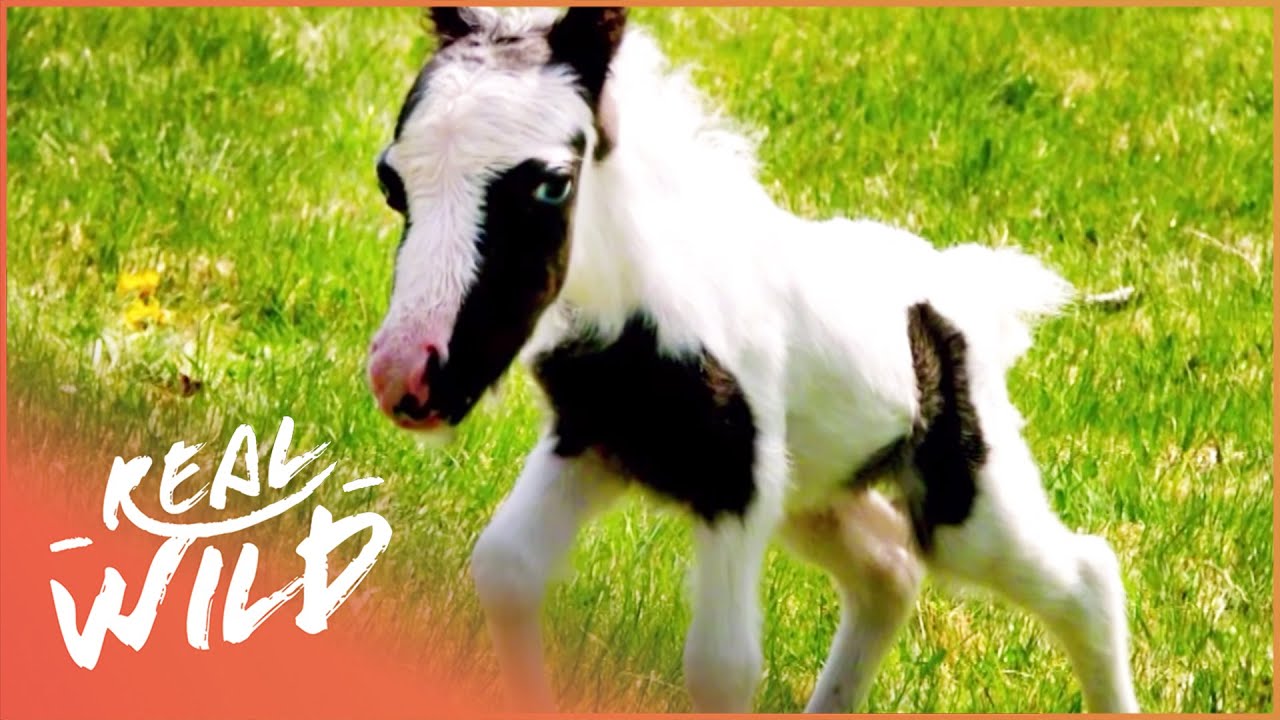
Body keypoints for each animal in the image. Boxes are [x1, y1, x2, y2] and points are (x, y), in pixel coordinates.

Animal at [364, 7, 1140, 714]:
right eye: (390, 181)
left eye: (552, 183)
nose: (405, 377)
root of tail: (970, 292)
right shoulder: (592, 443)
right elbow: (506, 568)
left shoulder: (737, 485)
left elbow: (722, 667)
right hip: (817, 494)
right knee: (889, 571)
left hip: (961, 498)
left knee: (1085, 577)